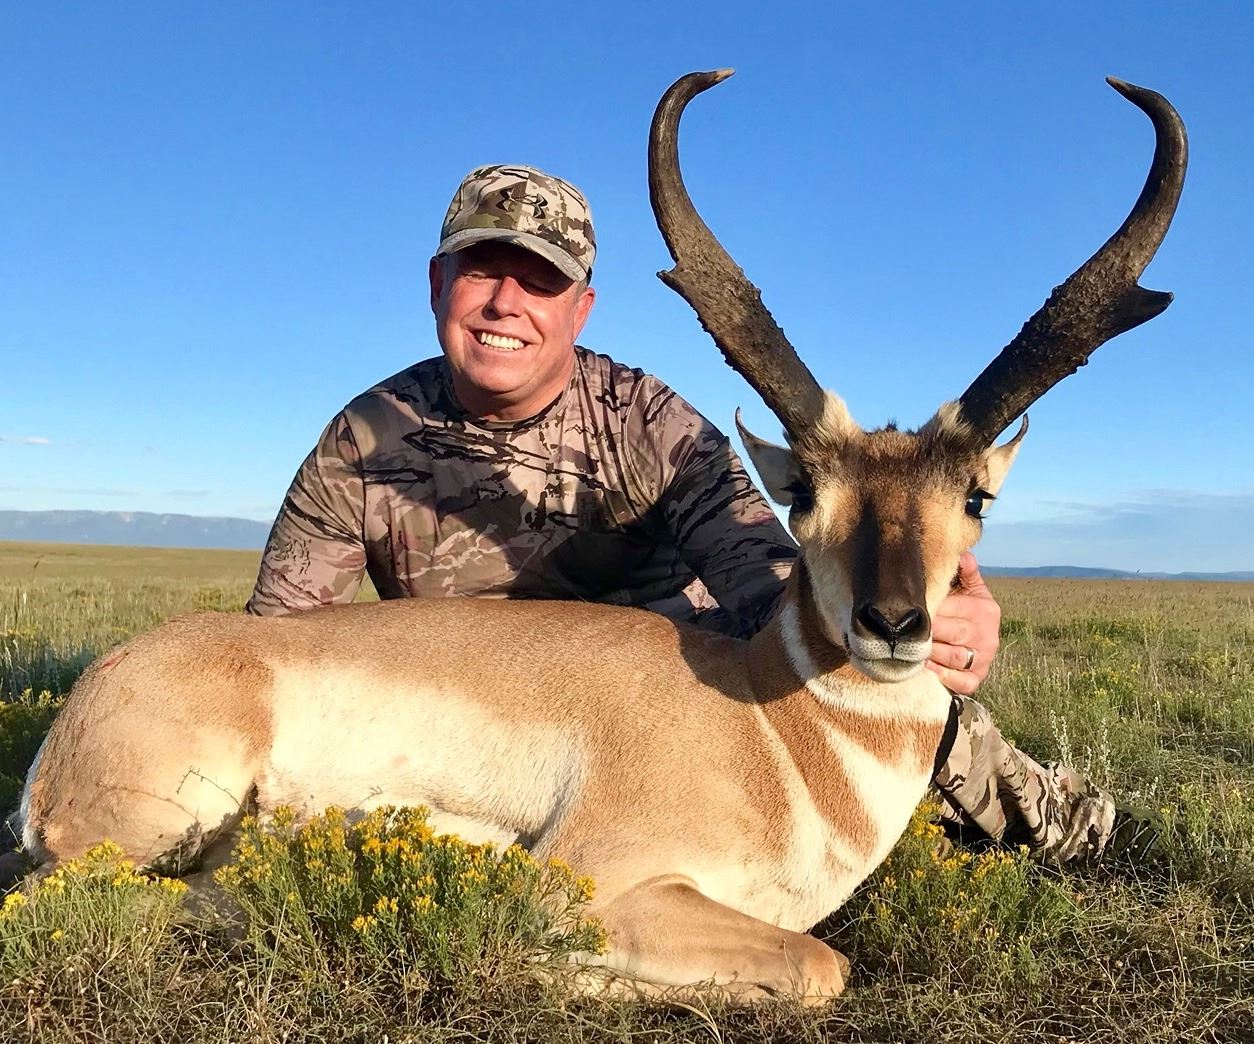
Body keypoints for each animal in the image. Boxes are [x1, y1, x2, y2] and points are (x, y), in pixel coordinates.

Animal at [9, 70, 1184, 1004]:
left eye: (974, 499)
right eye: (807, 490)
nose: (894, 622)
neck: (773, 728)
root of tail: (106, 684)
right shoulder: (604, 876)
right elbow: (817, 964)